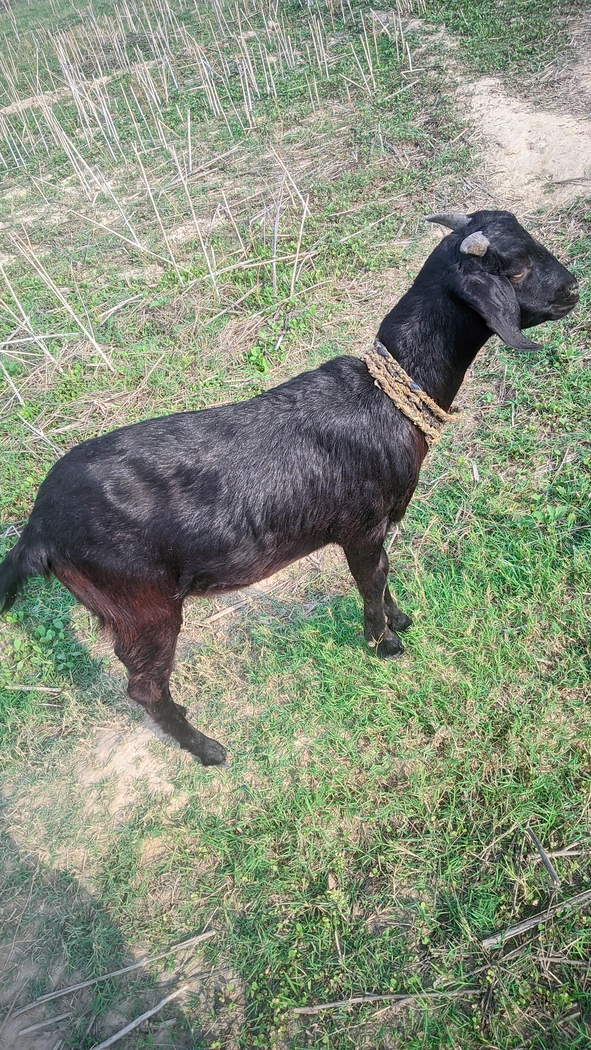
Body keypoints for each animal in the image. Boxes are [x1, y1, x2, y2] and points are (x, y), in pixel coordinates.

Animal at [0, 210, 578, 765]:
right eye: (515, 270)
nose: (573, 288)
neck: (384, 399)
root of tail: (39, 528)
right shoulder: (362, 525)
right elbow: (369, 581)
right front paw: (384, 644)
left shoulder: (380, 526)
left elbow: (384, 573)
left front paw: (401, 620)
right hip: (141, 604)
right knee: (144, 685)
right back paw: (207, 749)